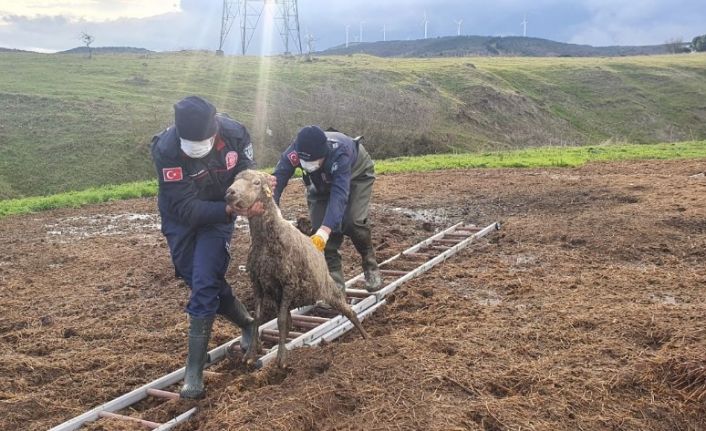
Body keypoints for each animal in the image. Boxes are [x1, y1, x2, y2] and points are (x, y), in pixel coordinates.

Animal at [226, 169, 368, 368]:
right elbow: (258, 319)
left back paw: (366, 338)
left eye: (256, 183)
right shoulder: (258, 284)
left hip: (329, 289)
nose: (229, 192)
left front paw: (281, 359)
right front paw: (250, 355)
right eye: (234, 179)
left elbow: (281, 321)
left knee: (350, 311)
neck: (265, 241)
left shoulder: (289, 283)